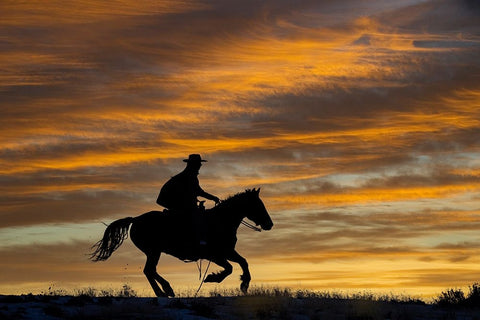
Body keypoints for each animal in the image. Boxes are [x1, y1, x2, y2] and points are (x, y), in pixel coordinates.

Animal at [88, 188, 272, 298]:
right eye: (258, 205)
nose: (269, 224)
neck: (221, 221)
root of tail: (136, 219)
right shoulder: (214, 255)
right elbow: (229, 268)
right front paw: (212, 278)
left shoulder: (226, 251)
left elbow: (243, 262)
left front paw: (244, 284)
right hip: (154, 251)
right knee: (149, 270)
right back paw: (165, 290)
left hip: (153, 252)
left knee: (150, 271)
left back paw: (164, 291)